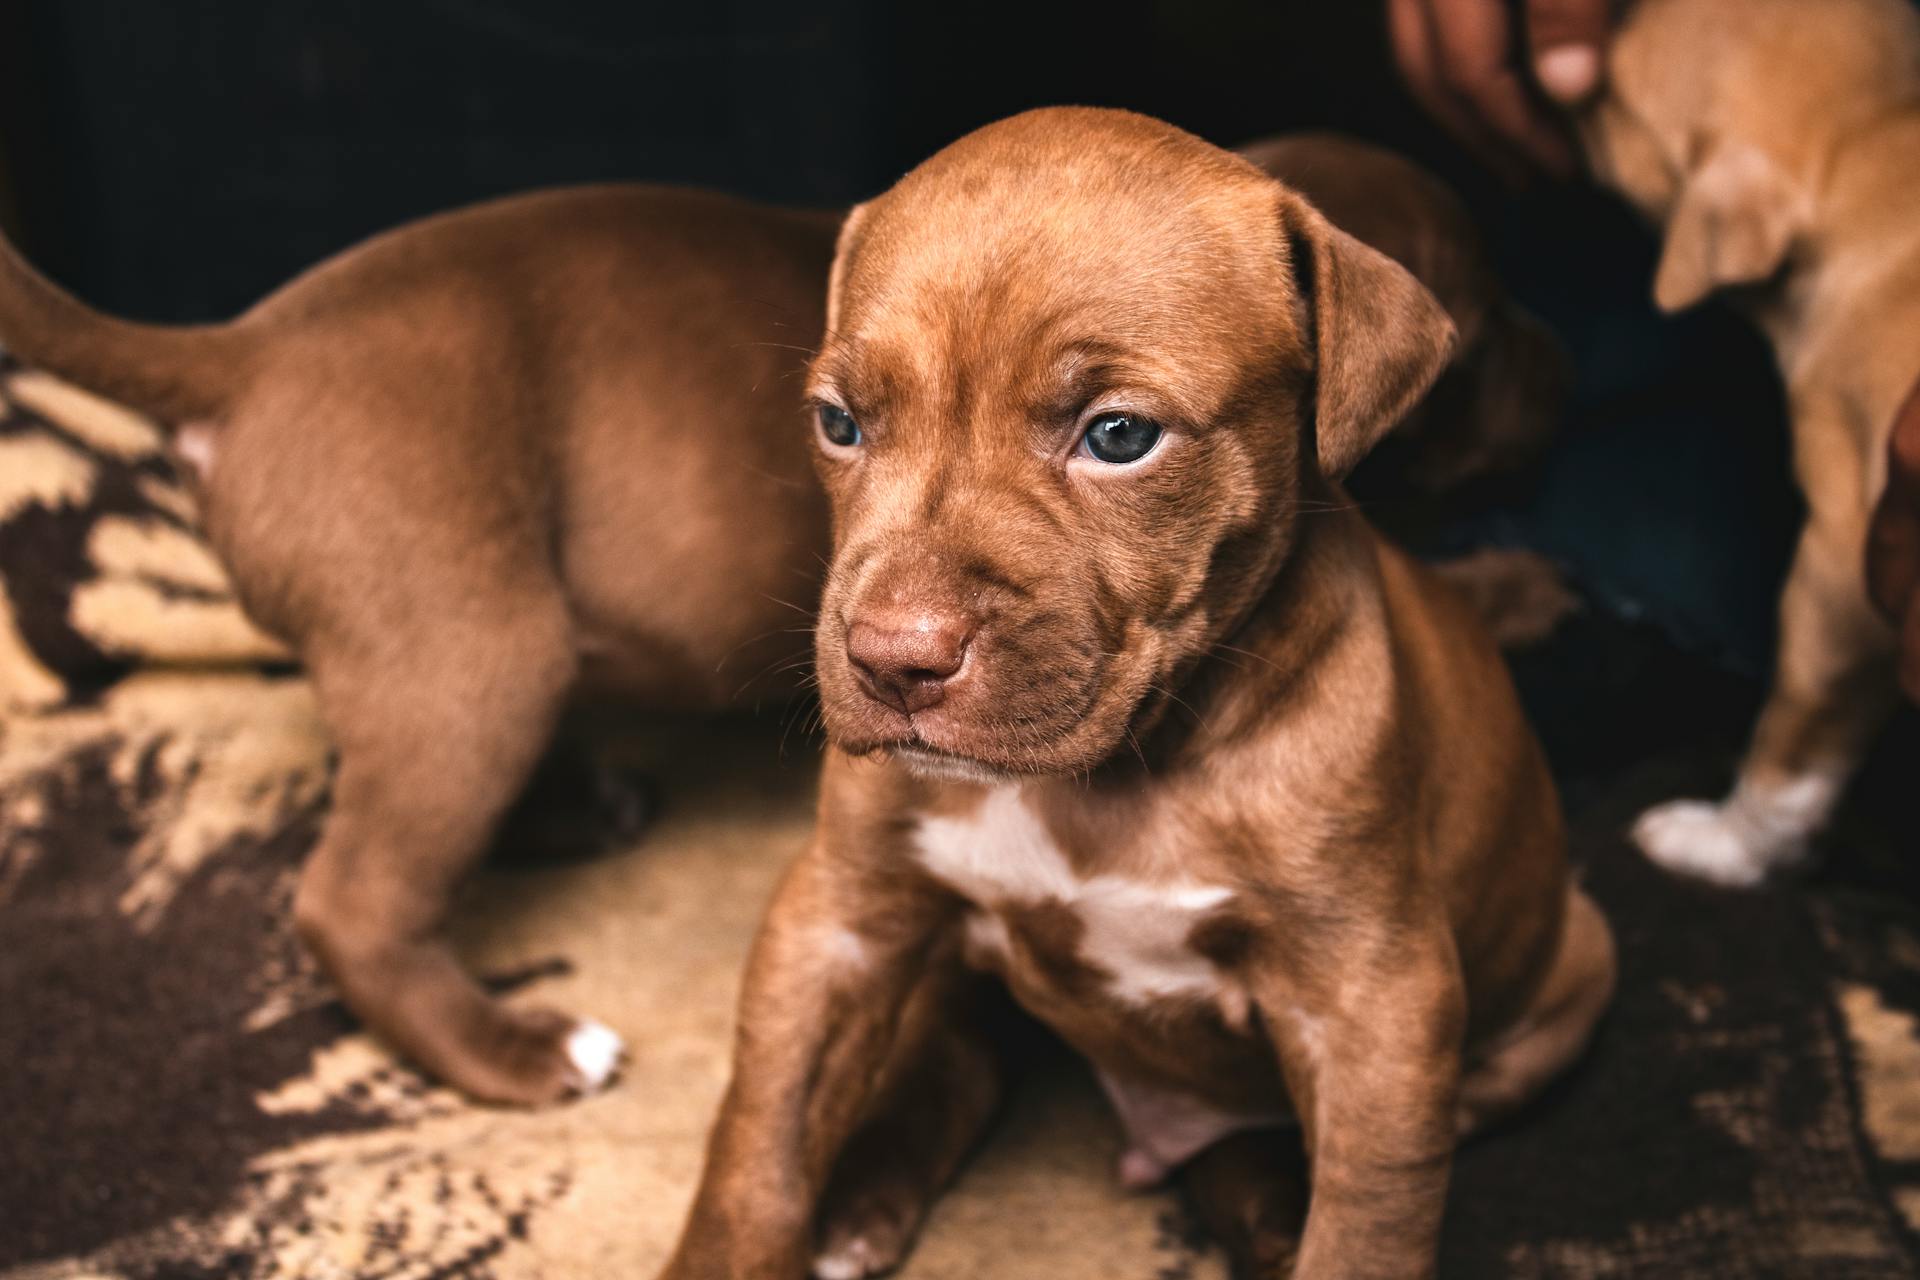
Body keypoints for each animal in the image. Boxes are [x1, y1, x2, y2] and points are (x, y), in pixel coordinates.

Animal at [668, 107, 1612, 1280]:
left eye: (1120, 436)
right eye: (839, 423)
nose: (893, 658)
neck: (1108, 778)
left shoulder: (1376, 1011)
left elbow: (1365, 1225)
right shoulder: (838, 915)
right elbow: (760, 1141)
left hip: (1576, 964)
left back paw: (1262, 1205)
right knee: (965, 1048)